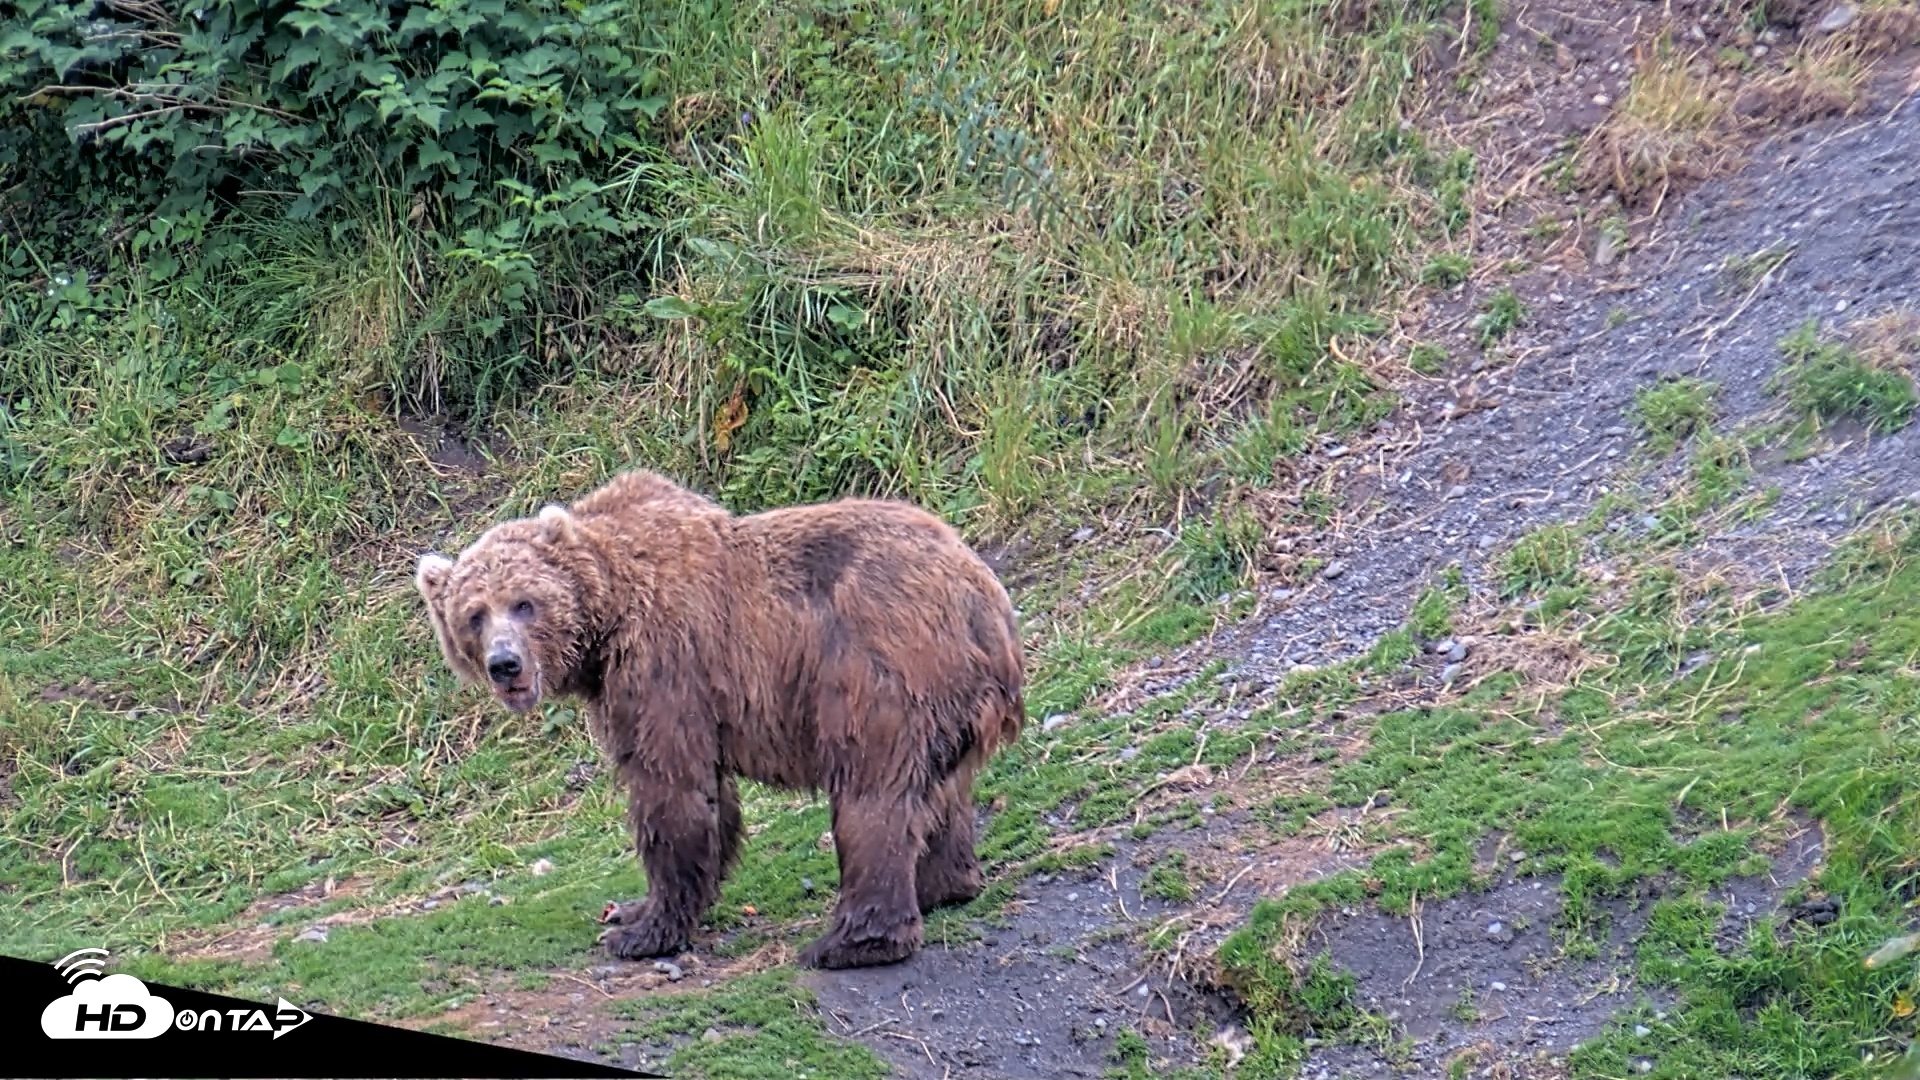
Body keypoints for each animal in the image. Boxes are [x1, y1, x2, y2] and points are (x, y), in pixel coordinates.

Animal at [412, 468, 1026, 970]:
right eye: (474, 615)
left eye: (524, 603)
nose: (505, 664)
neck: (606, 620)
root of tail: (985, 599)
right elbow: (710, 796)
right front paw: (631, 911)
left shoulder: (667, 665)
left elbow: (672, 788)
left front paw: (640, 931)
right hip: (945, 700)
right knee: (940, 790)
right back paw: (946, 886)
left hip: (880, 670)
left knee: (872, 793)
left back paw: (852, 943)